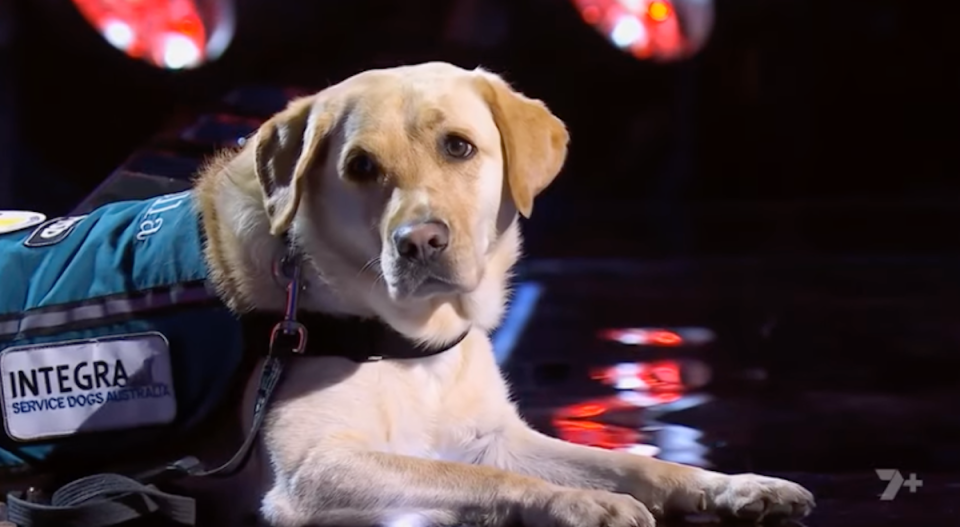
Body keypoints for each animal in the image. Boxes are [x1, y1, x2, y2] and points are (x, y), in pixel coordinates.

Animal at [191, 63, 812, 527]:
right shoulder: (314, 470)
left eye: (458, 147)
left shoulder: (497, 437)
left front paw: (736, 485)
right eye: (361, 166)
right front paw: (583, 502)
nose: (419, 241)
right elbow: (473, 476)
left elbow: (635, 464)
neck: (412, 340)